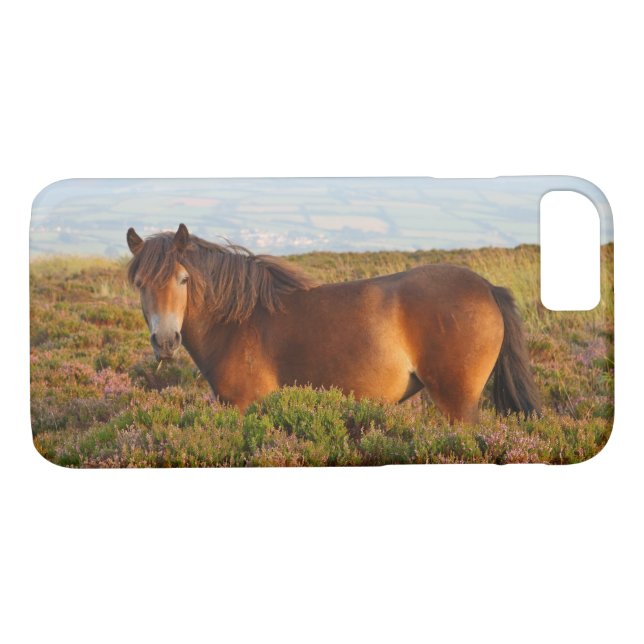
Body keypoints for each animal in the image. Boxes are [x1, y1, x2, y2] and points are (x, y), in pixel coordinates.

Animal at [126, 224, 541, 423]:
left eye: (183, 279)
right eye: (140, 283)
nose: (165, 341)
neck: (238, 323)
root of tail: (488, 288)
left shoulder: (245, 406)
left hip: (459, 403)